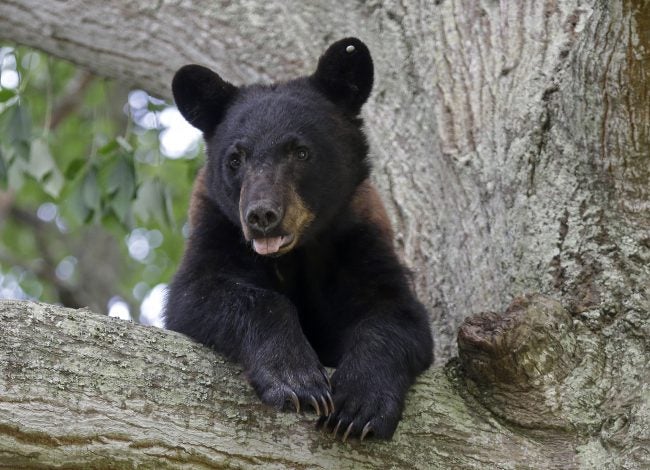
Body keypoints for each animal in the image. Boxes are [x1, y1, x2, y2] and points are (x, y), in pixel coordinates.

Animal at [165, 37, 432, 440]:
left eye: (301, 151)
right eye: (235, 158)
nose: (261, 216)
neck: (295, 254)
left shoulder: (358, 239)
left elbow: (397, 313)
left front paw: (360, 406)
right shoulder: (217, 230)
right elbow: (201, 294)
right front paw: (296, 380)